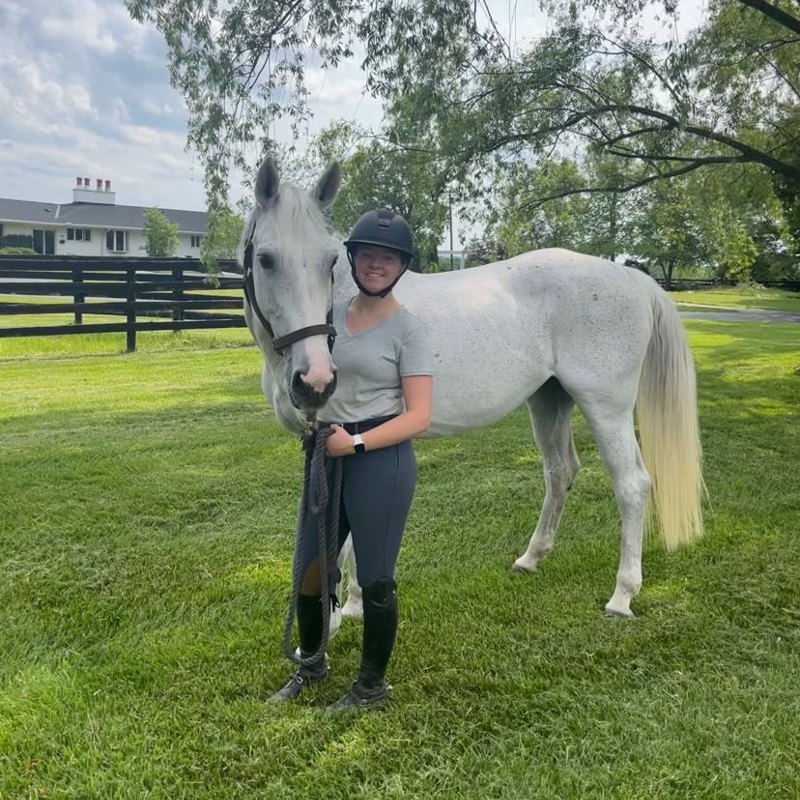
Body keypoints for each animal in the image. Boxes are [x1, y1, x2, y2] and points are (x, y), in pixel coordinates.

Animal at [241, 156, 704, 620]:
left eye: (330, 261)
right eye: (265, 259)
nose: (315, 381)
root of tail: (627, 275)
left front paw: (347, 608)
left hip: (606, 408)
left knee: (631, 485)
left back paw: (623, 594)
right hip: (549, 400)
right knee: (560, 471)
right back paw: (531, 557)